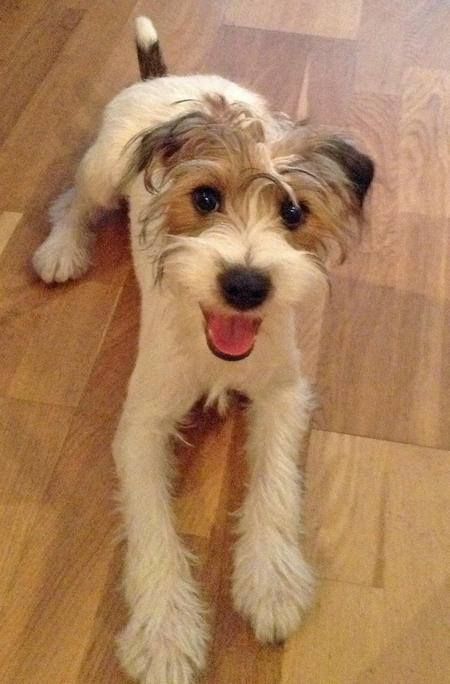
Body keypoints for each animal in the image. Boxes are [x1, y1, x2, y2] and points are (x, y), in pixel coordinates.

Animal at [33, 17, 374, 684]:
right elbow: (151, 526)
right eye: (206, 199)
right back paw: (63, 248)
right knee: (74, 201)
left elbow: (274, 482)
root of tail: (166, 77)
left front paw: (271, 581)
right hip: (103, 169)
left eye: (293, 211)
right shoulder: (141, 425)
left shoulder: (283, 394)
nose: (245, 285)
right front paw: (165, 633)